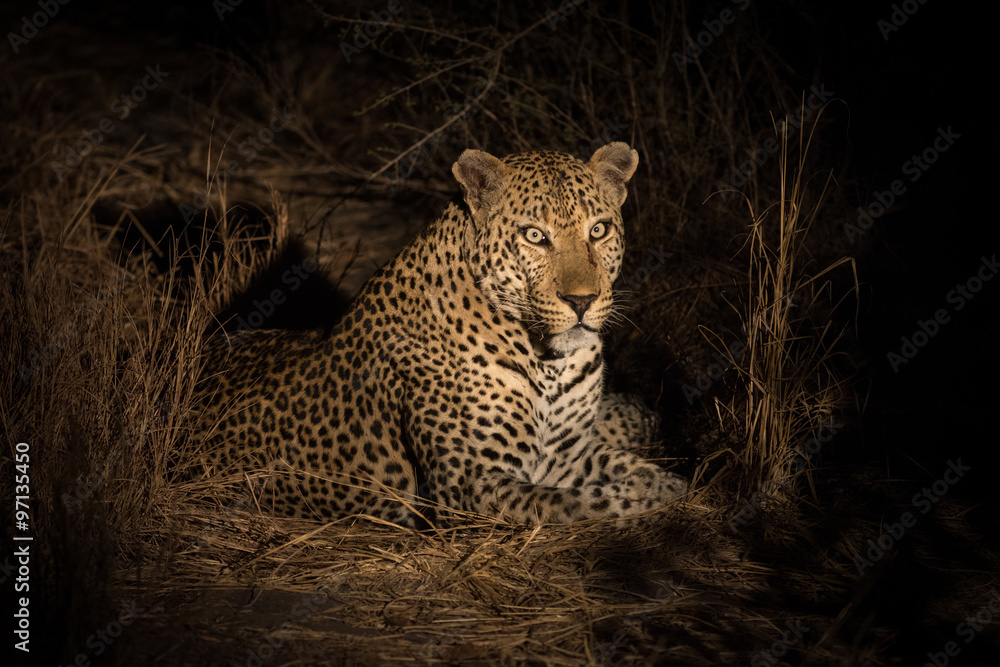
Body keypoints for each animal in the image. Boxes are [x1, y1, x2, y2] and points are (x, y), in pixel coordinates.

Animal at [194, 142, 689, 526]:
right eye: (534, 236)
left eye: (598, 230)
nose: (582, 301)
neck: (548, 358)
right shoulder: (469, 484)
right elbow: (579, 504)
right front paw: (659, 500)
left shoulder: (564, 453)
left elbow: (629, 467)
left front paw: (670, 483)